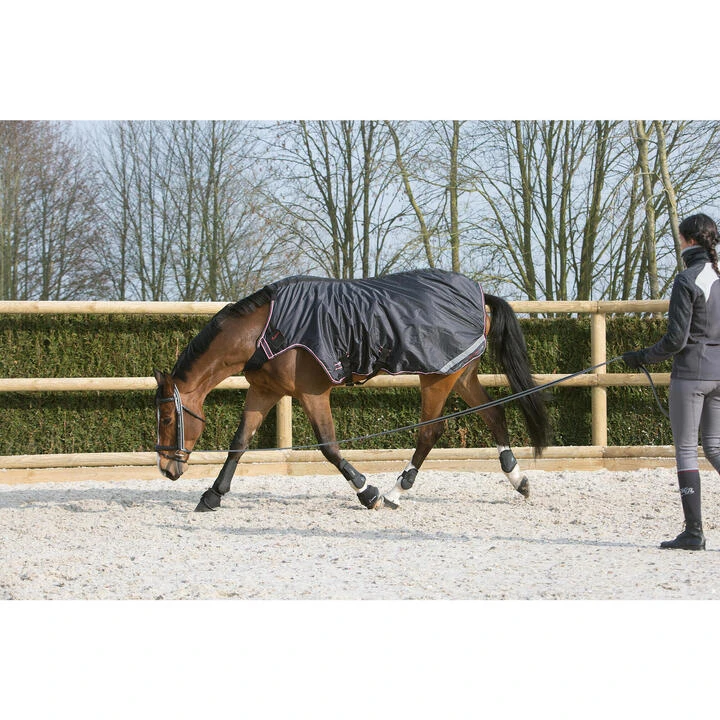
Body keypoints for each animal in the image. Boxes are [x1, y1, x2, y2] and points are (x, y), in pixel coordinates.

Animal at [153, 269, 551, 512]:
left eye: (169, 418)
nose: (167, 469)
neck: (265, 330)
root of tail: (480, 295)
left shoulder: (313, 393)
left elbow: (329, 446)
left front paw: (367, 492)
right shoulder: (264, 392)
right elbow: (239, 443)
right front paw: (211, 496)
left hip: (437, 377)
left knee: (430, 432)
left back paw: (394, 493)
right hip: (461, 373)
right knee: (493, 413)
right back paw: (519, 480)